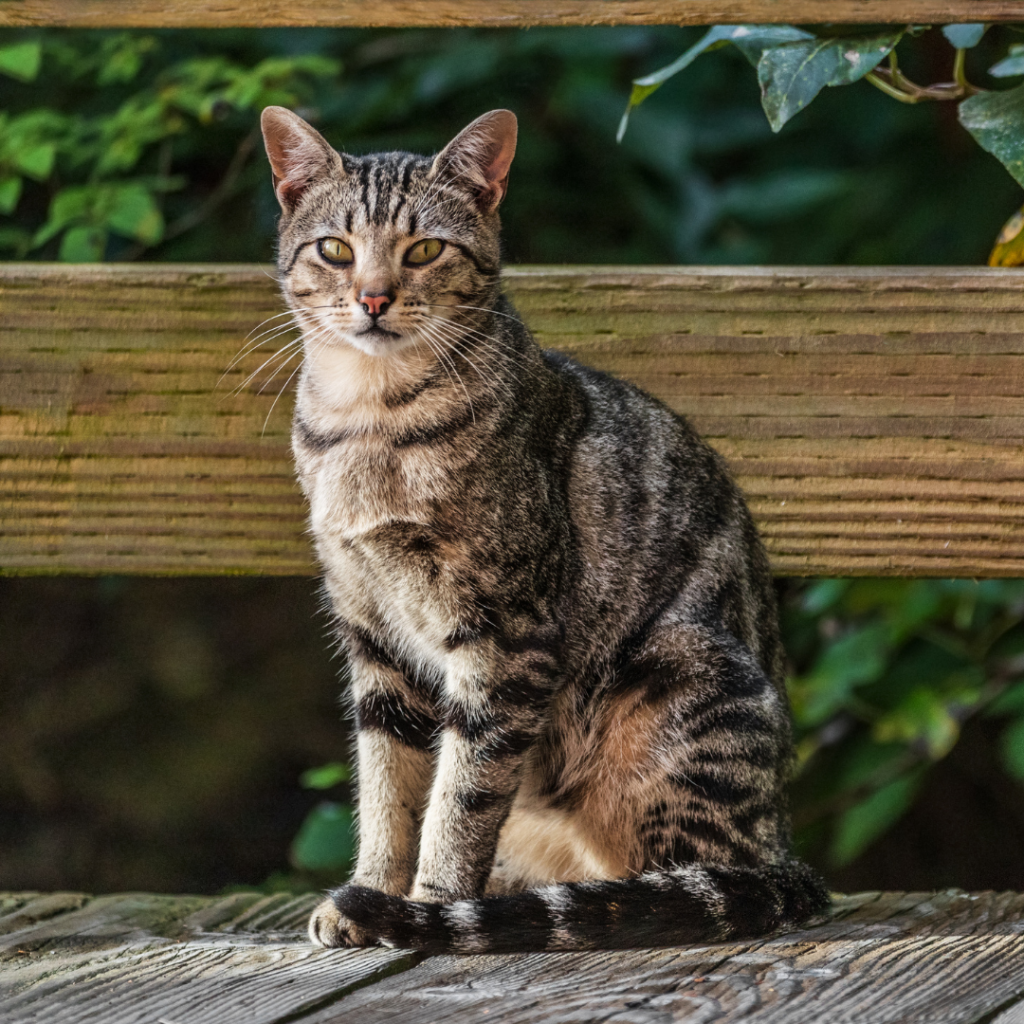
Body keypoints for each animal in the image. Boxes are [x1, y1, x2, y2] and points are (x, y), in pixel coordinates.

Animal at [258, 103, 831, 950]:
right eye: (335, 249)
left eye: (424, 249)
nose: (373, 298)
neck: (370, 422)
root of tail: (783, 847)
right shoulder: (374, 636)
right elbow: (388, 787)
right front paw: (375, 890)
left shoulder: (507, 637)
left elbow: (461, 796)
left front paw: (427, 907)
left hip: (673, 682)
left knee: (686, 877)